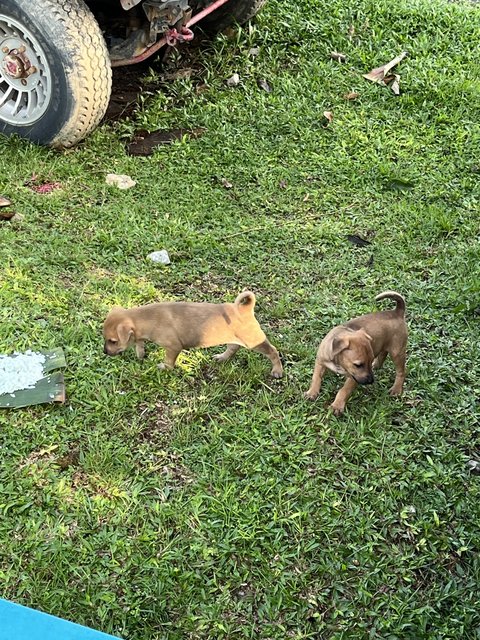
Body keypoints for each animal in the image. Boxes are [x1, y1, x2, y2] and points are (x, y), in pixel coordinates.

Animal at [101, 292, 282, 378]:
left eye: (113, 341)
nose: (104, 352)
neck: (145, 317)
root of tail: (244, 309)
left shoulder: (173, 347)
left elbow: (169, 361)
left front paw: (164, 368)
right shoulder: (139, 336)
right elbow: (139, 345)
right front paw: (140, 356)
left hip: (254, 340)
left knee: (273, 351)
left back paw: (277, 370)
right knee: (233, 347)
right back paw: (222, 358)